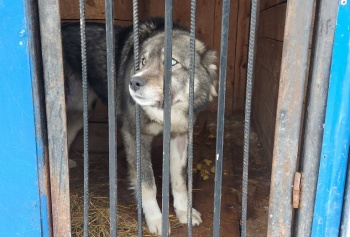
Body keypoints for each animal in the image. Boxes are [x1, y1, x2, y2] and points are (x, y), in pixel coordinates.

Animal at [61, 18, 217, 235]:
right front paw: (157, 220)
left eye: (172, 62)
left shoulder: (180, 136)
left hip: (80, 112)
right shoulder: (135, 136)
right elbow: (147, 184)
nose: (133, 82)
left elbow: (180, 181)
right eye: (143, 61)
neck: (166, 112)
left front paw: (184, 212)